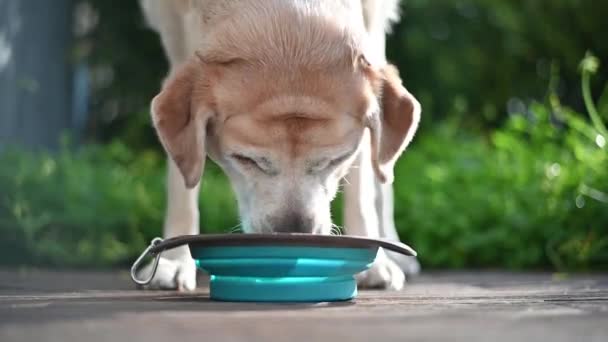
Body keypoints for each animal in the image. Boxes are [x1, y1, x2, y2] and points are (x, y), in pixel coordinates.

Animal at [140, 0, 420, 292]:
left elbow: (363, 189)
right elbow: (182, 183)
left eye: (336, 160)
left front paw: (375, 262)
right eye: (245, 160)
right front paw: (173, 260)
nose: (293, 233)